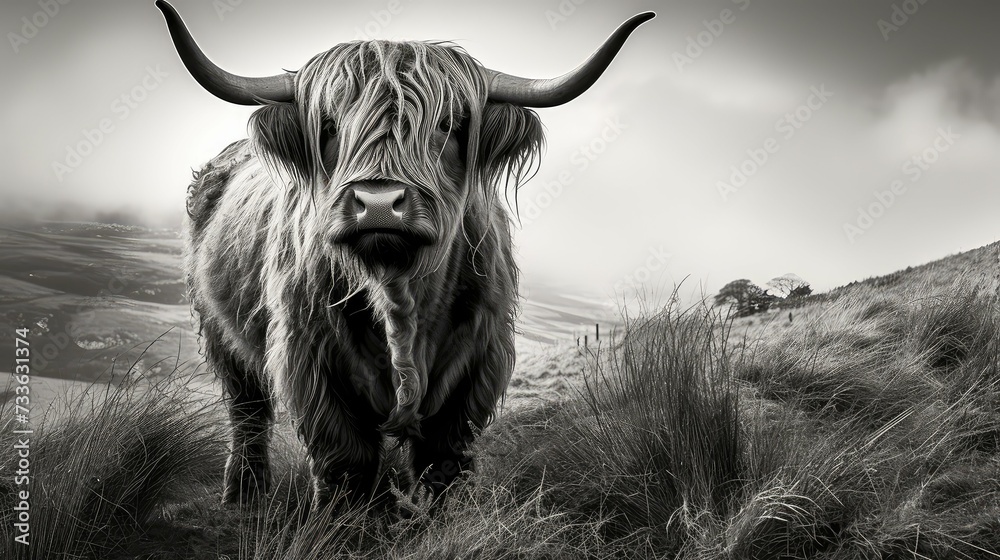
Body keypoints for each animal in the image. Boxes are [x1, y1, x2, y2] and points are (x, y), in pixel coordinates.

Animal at [156, 0, 653, 509]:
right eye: (330, 127)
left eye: (447, 125)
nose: (378, 203)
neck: (398, 289)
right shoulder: (312, 359)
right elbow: (345, 463)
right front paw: (344, 521)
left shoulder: (475, 364)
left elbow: (444, 460)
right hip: (220, 334)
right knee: (247, 411)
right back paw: (244, 494)